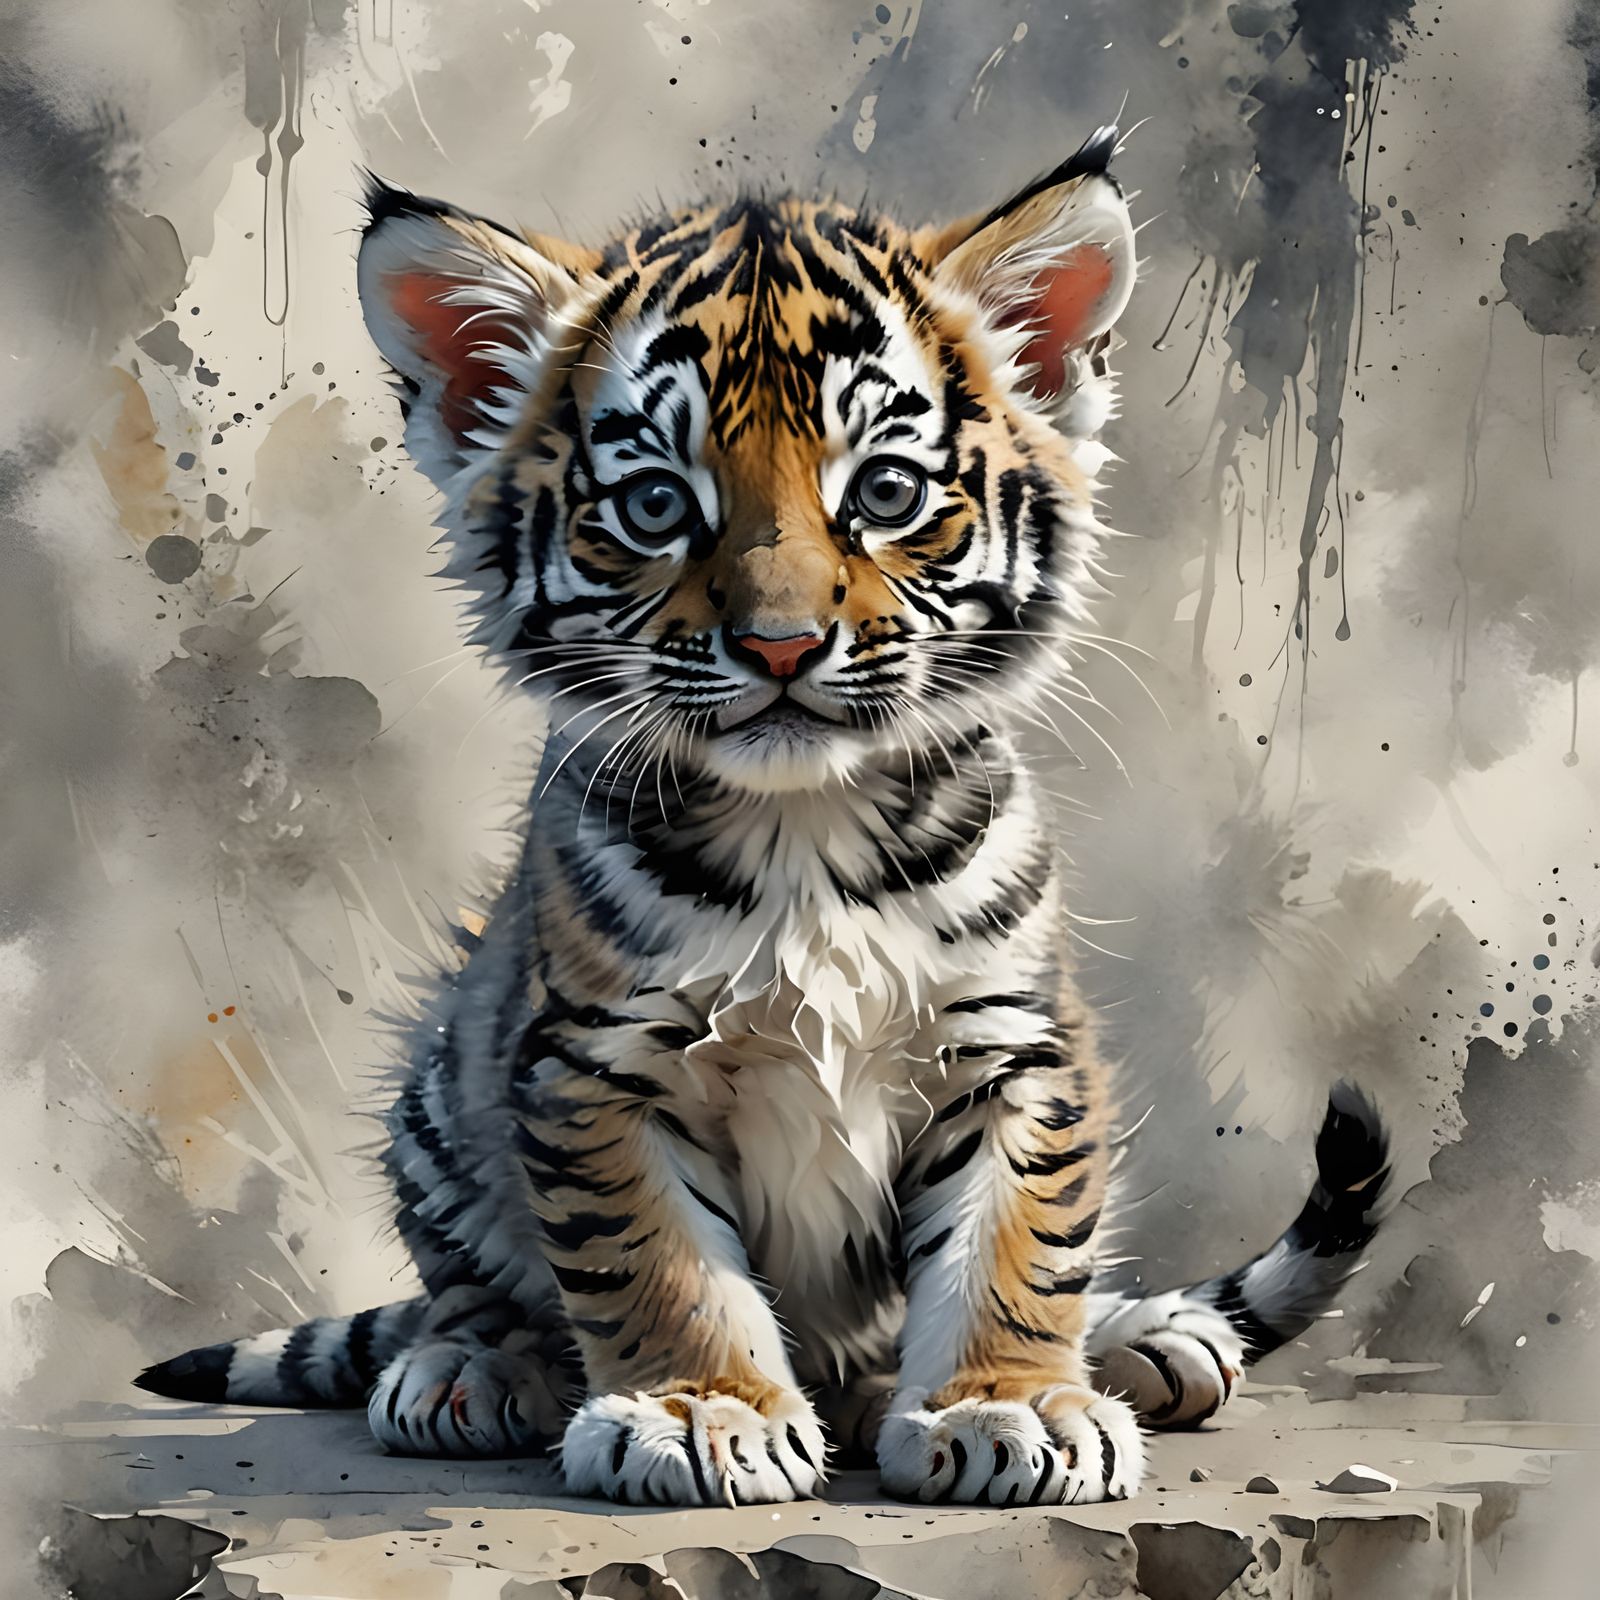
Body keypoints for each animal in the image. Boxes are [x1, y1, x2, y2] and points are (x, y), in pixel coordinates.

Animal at [135, 127, 1389, 1508]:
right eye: (654, 505)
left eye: (884, 493)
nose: (781, 644)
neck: (808, 831)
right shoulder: (598, 1065)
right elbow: (654, 1259)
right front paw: (701, 1412)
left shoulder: (1009, 1045)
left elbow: (1018, 1240)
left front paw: (1010, 1404)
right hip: (439, 1088)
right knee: (465, 1287)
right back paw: (468, 1369)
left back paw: (1142, 1337)